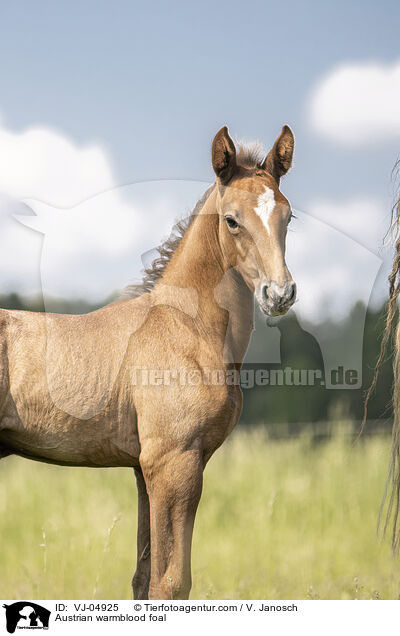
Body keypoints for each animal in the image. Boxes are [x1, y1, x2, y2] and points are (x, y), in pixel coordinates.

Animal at [0, 123, 296, 596]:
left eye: (288, 217)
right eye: (232, 220)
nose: (280, 294)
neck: (186, 328)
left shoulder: (144, 469)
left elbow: (143, 577)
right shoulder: (173, 461)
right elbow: (171, 582)